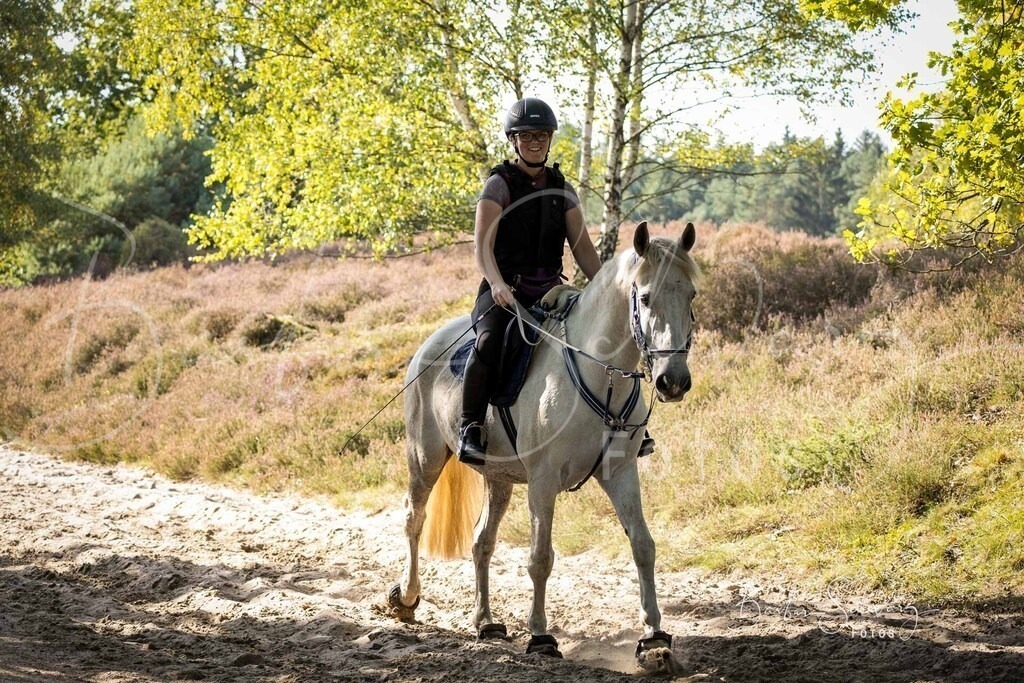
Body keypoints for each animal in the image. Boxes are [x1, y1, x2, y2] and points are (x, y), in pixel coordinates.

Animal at [386, 221, 699, 670]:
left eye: (691, 295)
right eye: (644, 297)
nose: (673, 381)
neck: (598, 373)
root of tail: (429, 343)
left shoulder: (621, 472)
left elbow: (643, 545)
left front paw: (654, 638)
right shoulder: (543, 480)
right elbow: (540, 558)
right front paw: (540, 637)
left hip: (498, 478)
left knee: (481, 542)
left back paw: (485, 622)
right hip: (425, 458)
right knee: (414, 517)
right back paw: (407, 598)